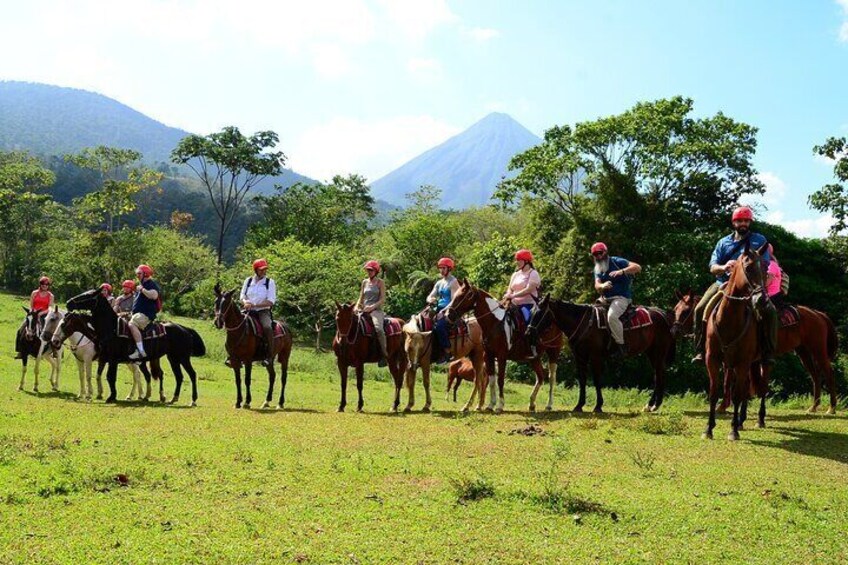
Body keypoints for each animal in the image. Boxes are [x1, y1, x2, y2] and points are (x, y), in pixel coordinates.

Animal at [66, 288, 205, 404]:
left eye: (87, 295)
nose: (68, 303)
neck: (112, 328)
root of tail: (185, 329)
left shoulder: (112, 359)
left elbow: (110, 377)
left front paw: (111, 397)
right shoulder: (105, 359)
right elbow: (105, 376)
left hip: (183, 358)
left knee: (192, 374)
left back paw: (192, 400)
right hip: (173, 358)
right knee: (178, 376)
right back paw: (173, 398)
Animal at [440, 280, 568, 412]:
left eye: (462, 296)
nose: (448, 314)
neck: (495, 323)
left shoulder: (501, 356)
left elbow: (500, 380)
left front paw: (500, 405)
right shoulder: (489, 356)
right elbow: (492, 380)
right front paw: (491, 404)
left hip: (553, 352)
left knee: (552, 377)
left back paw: (549, 404)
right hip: (534, 358)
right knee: (540, 377)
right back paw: (532, 403)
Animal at [528, 296, 676, 410]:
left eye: (539, 313)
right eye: (531, 311)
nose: (528, 332)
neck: (583, 323)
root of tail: (662, 314)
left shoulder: (596, 357)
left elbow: (597, 379)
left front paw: (598, 406)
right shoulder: (580, 357)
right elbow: (582, 379)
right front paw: (579, 405)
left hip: (658, 352)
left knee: (659, 375)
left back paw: (655, 405)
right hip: (651, 352)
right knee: (657, 375)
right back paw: (650, 405)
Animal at [672, 286, 840, 414]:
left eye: (686, 311)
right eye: (675, 309)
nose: (674, 331)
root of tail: (818, 314)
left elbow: (728, 382)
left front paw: (724, 406)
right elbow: (729, 382)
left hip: (818, 350)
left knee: (829, 374)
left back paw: (831, 408)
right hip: (803, 352)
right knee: (815, 376)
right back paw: (813, 407)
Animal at [700, 245, 772, 438]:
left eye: (766, 269)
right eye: (748, 268)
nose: (762, 300)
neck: (729, 319)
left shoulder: (742, 362)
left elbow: (737, 395)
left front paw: (732, 431)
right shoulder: (713, 360)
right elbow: (714, 393)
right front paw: (708, 429)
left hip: (762, 362)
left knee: (762, 387)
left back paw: (759, 419)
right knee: (747, 387)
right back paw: (741, 420)